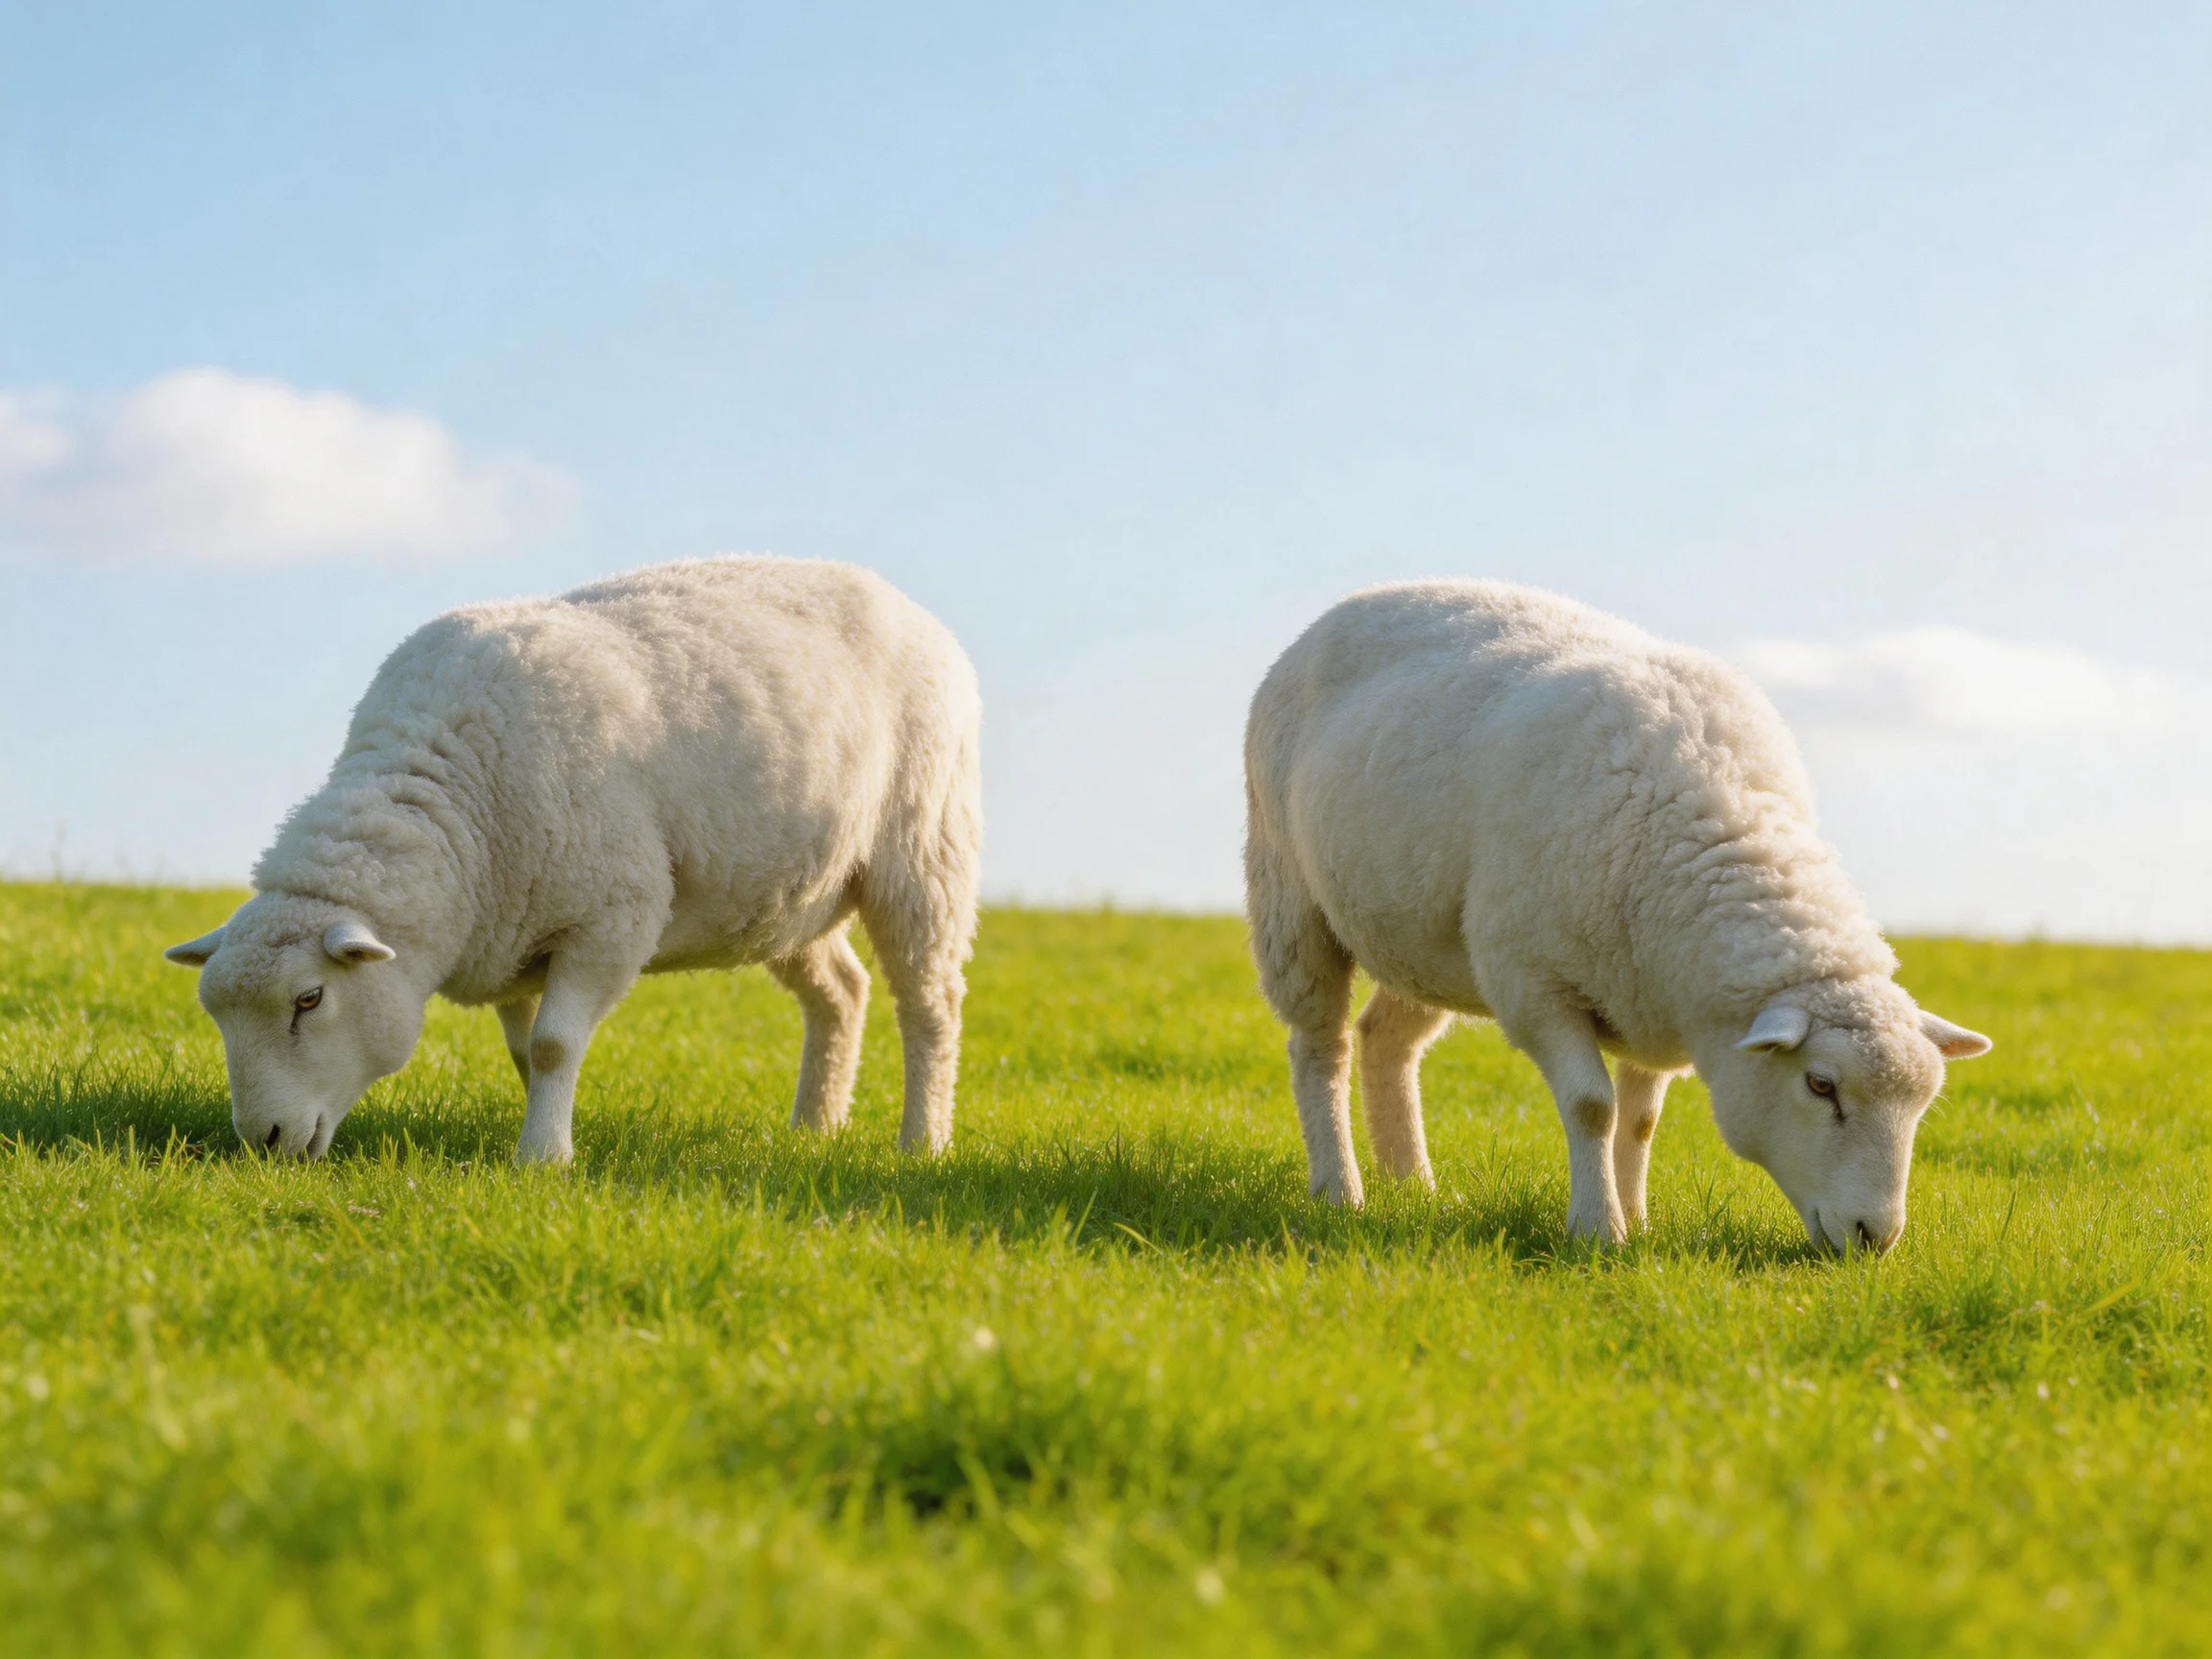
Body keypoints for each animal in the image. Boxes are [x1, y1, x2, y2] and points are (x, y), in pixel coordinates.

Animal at [163, 556, 982, 1164]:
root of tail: (913, 610)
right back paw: (815, 1125)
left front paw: (542, 1160)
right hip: (785, 892)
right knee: (841, 992)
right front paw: (543, 1128)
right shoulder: (509, 933)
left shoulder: (610, 915)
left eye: (309, 1000)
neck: (453, 797)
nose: (263, 1141)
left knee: (931, 1005)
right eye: (217, 1014)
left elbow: (555, 1047)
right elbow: (526, 1053)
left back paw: (923, 1141)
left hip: (924, 850)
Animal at [1243, 580, 1990, 1252]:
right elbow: (1593, 1107)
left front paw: (1639, 1221)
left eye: (1922, 1103)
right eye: (1820, 1085)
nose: (1876, 1238)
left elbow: (1641, 1121)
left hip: (1423, 936)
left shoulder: (1651, 993)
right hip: (1289, 896)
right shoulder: (1533, 983)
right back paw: (1339, 1190)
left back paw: (1413, 1187)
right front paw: (1599, 1230)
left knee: (1386, 1041)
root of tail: (1358, 601)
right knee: (1321, 1047)